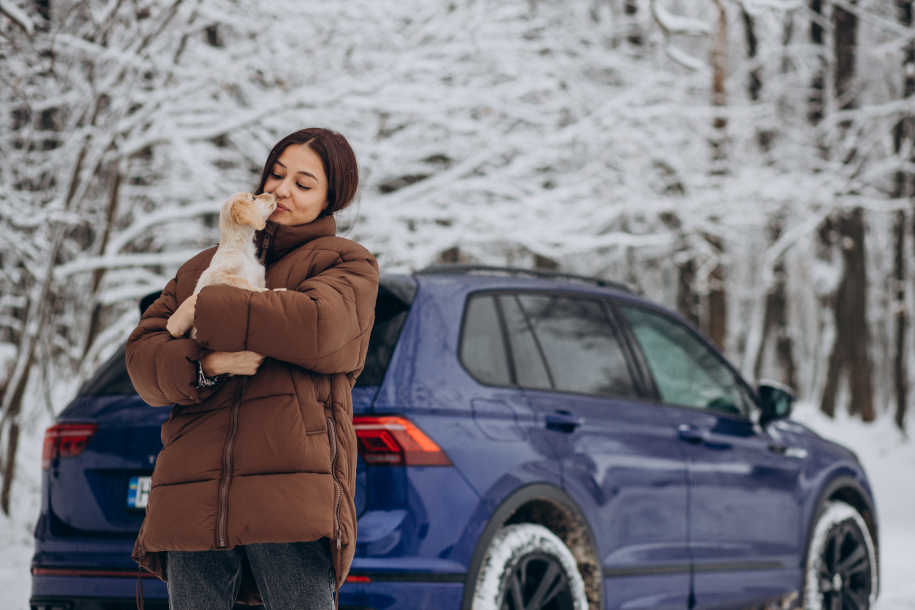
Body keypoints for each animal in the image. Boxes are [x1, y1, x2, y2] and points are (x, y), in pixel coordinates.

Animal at [190, 191, 280, 338]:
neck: (242, 249)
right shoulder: (211, 274)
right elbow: (241, 281)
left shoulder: (260, 277)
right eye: (253, 198)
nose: (271, 192)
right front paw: (260, 291)